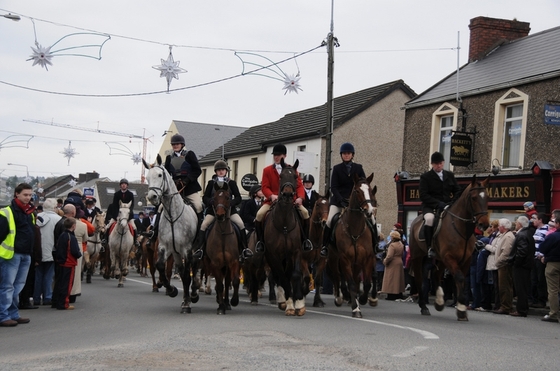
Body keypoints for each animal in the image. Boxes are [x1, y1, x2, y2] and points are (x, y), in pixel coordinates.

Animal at [205, 182, 242, 316]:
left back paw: (227, 303)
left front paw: (234, 301)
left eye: (227, 197)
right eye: (214, 198)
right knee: (221, 283)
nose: (220, 215)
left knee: (227, 282)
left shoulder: (234, 261)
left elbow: (234, 281)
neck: (222, 233)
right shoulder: (215, 263)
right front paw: (220, 307)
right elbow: (219, 285)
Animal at [264, 159, 306, 316]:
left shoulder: (296, 251)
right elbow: (282, 277)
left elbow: (295, 274)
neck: (284, 225)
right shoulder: (274, 255)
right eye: (281, 176)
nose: (287, 195)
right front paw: (289, 305)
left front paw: (299, 303)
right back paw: (283, 300)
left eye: (295, 176)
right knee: (278, 276)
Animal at [326, 174, 378, 320]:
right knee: (337, 275)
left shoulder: (367, 258)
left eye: (370, 190)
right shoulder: (345, 259)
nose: (369, 211)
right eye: (357, 191)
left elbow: (366, 283)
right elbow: (351, 283)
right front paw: (356, 308)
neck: (355, 230)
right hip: (334, 257)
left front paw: (363, 300)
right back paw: (339, 297)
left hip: (356, 263)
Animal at [406, 176, 490, 322]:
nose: (484, 224)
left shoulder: (466, 260)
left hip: (440, 259)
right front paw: (461, 308)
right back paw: (424, 306)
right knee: (420, 278)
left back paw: (439, 302)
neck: (462, 230)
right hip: (418, 256)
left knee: (435, 274)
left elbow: (460, 280)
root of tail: (416, 220)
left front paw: (461, 309)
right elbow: (460, 278)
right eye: (474, 198)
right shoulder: (449, 257)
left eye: (487, 197)